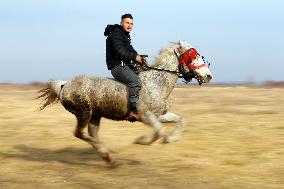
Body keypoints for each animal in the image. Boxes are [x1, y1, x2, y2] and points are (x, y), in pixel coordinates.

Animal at [36, 40, 212, 165]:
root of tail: (64, 84)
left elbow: (180, 121)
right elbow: (160, 131)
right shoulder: (146, 116)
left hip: (95, 116)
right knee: (80, 134)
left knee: (91, 133)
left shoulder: (159, 115)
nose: (209, 76)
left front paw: (171, 139)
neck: (156, 82)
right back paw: (104, 152)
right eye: (192, 57)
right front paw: (143, 140)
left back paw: (107, 156)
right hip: (83, 113)